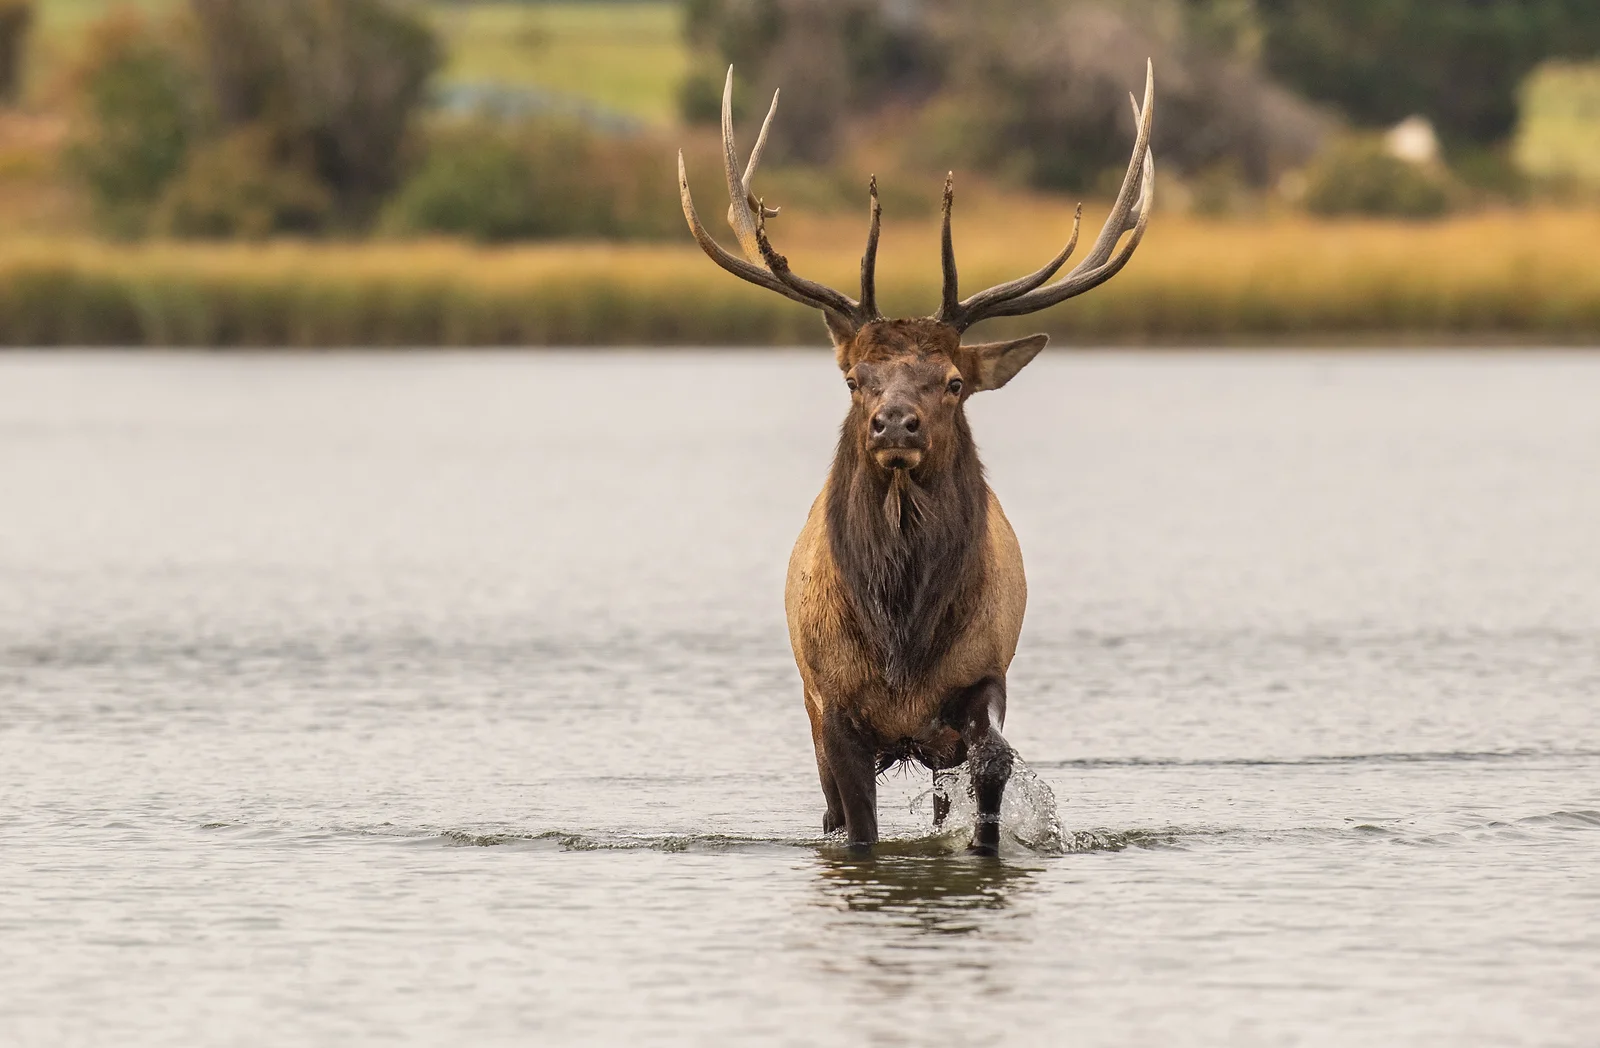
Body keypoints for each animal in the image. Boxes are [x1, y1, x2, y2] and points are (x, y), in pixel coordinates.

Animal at [678, 65, 1154, 855]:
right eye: (853, 378)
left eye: (954, 382)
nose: (893, 423)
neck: (901, 638)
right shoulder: (831, 708)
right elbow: (857, 827)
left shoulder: (984, 674)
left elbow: (992, 764)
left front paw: (988, 839)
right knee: (830, 813)